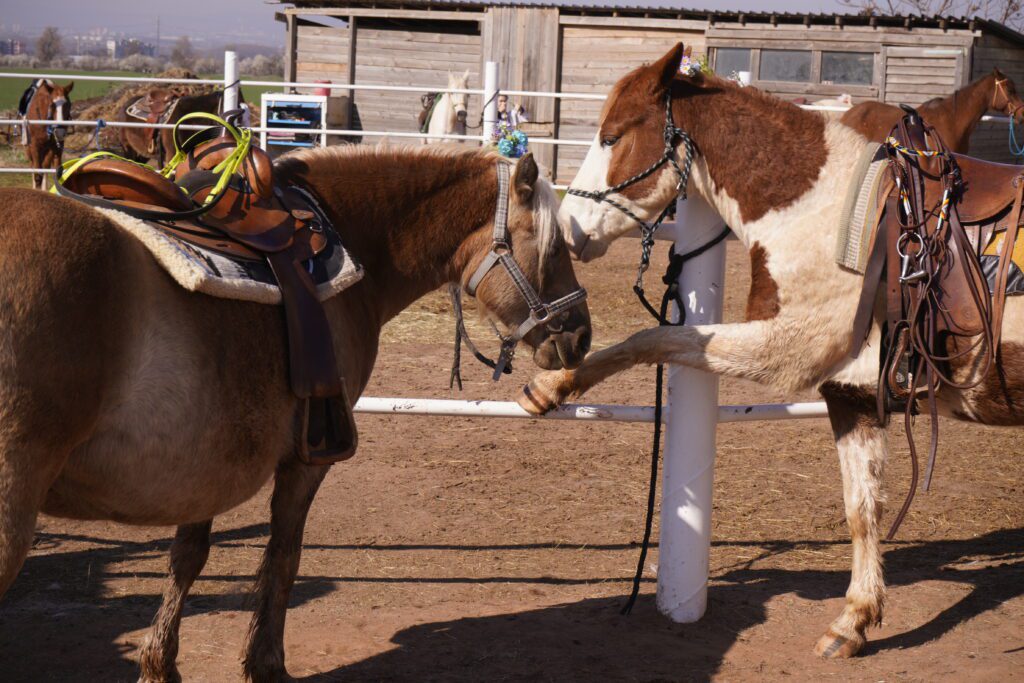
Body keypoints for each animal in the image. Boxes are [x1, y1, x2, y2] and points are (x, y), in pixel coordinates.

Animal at [0, 147, 590, 681]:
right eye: (555, 250)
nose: (581, 335)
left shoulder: (205, 466)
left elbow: (187, 556)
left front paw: (159, 664)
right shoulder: (308, 460)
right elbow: (284, 558)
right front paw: (265, 664)